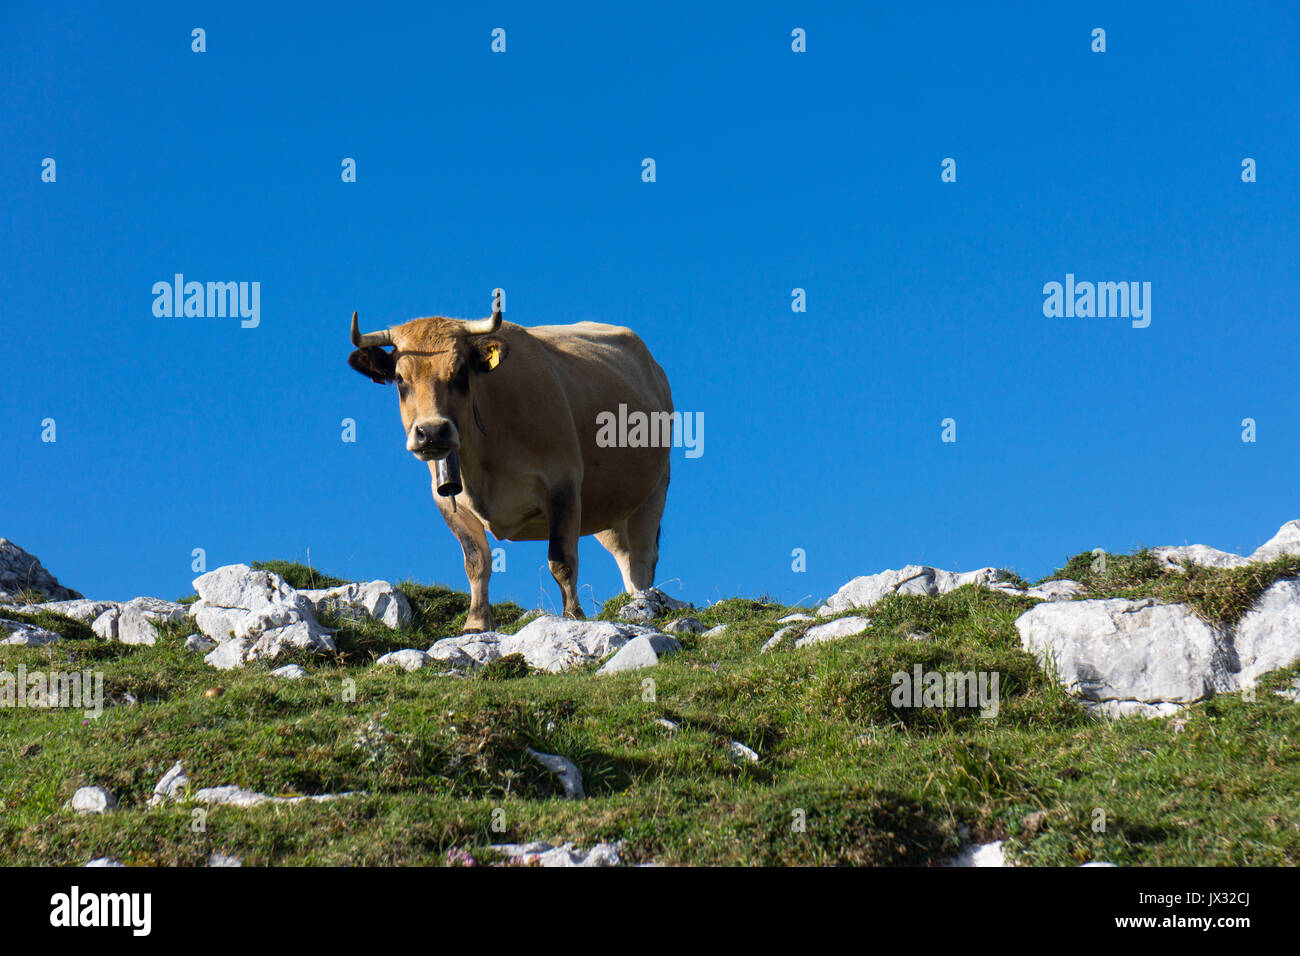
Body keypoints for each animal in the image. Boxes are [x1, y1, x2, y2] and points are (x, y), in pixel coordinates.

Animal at [348, 303, 670, 632]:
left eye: (461, 371)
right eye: (401, 378)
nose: (433, 431)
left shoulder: (562, 484)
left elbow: (562, 560)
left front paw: (573, 615)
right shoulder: (449, 501)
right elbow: (476, 562)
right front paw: (476, 622)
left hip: (655, 488)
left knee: (642, 558)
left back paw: (642, 603)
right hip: (609, 507)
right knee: (624, 554)